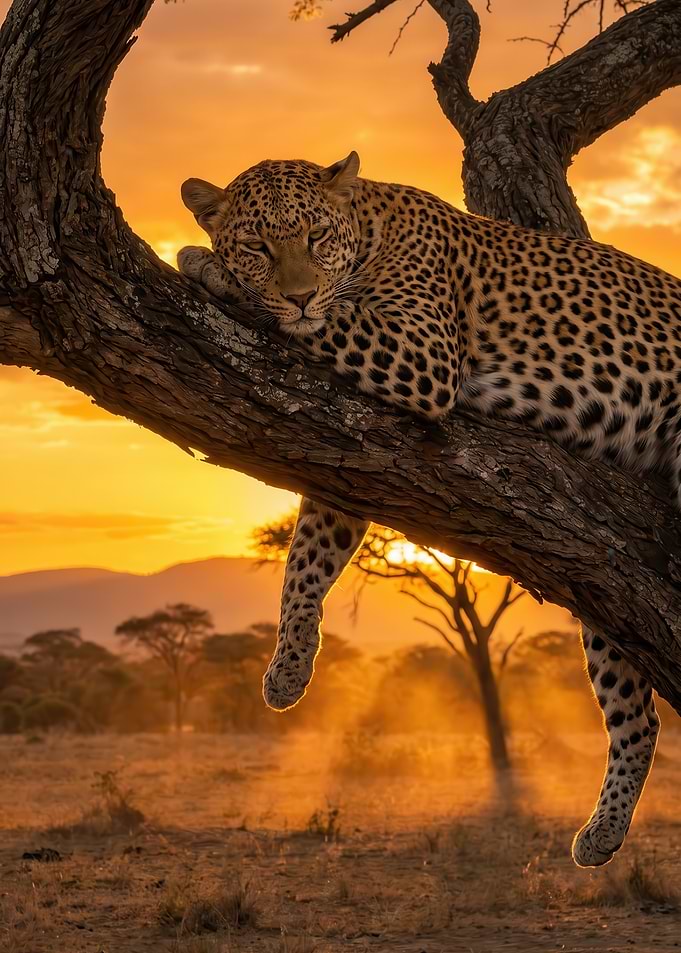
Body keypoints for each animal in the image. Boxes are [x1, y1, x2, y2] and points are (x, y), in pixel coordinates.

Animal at [177, 151, 681, 868]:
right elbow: (305, 560)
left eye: (314, 237)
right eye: (257, 245)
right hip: (602, 585)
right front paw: (288, 667)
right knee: (637, 715)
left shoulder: (421, 354)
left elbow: (328, 318)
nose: (298, 293)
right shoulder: (346, 463)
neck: (365, 230)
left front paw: (204, 265)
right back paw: (602, 832)